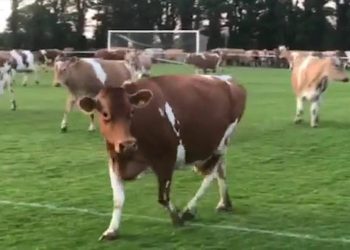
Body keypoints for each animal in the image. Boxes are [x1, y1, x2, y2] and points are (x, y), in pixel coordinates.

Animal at [76, 74, 246, 240]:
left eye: (132, 112)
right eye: (105, 114)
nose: (128, 144)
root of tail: (230, 82)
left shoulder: (166, 160)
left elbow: (163, 198)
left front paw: (177, 218)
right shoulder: (115, 162)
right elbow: (118, 199)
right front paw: (112, 230)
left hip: (222, 143)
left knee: (211, 174)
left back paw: (190, 209)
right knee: (221, 170)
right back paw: (224, 203)